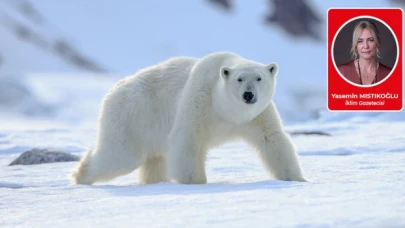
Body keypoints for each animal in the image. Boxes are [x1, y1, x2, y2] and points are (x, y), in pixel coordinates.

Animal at [72, 50, 306, 184]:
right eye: (240, 79)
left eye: (259, 78)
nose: (248, 95)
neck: (227, 111)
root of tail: (113, 91)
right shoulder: (200, 98)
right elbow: (188, 139)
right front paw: (196, 182)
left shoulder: (257, 115)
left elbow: (272, 139)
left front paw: (297, 179)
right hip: (132, 117)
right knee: (120, 157)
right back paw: (80, 176)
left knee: (154, 159)